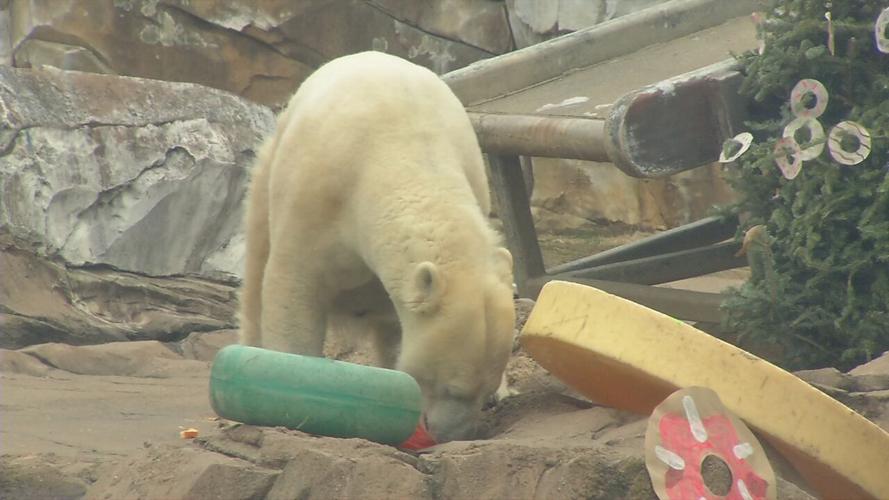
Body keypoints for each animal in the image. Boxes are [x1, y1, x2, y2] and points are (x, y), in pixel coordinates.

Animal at [238, 51, 516, 443]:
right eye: (453, 388)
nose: (450, 435)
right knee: (257, 259)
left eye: (482, 391)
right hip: (273, 162)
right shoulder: (316, 195)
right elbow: (293, 286)